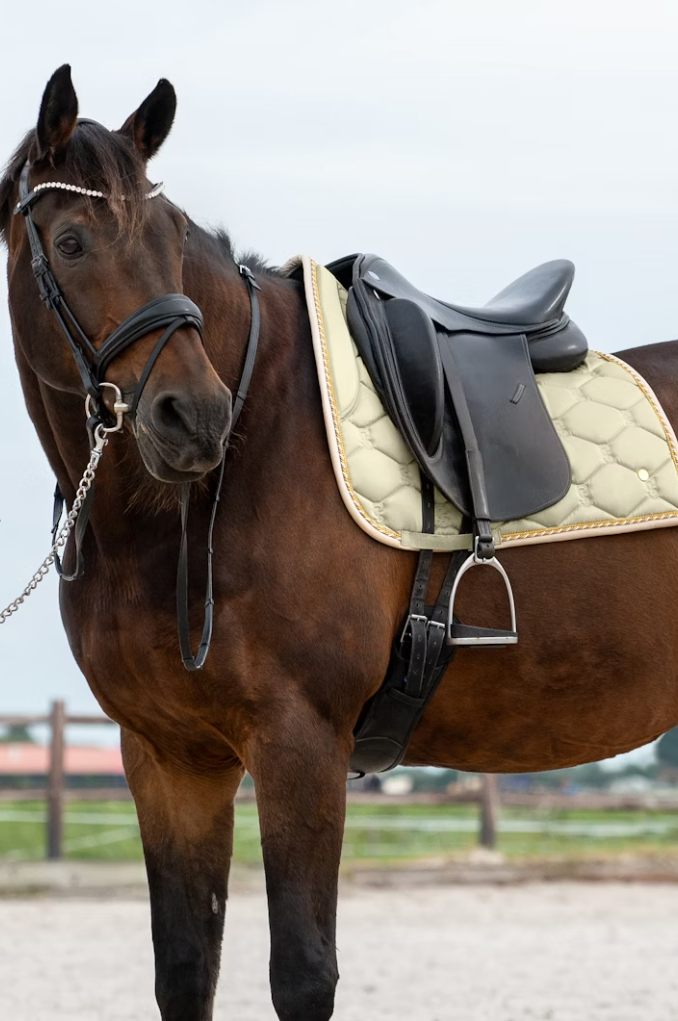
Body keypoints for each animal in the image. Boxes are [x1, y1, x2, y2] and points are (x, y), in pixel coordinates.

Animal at [1, 63, 678, 1021]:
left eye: (172, 239)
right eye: (69, 242)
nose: (194, 418)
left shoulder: (301, 743)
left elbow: (303, 973)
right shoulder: (169, 757)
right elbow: (185, 969)